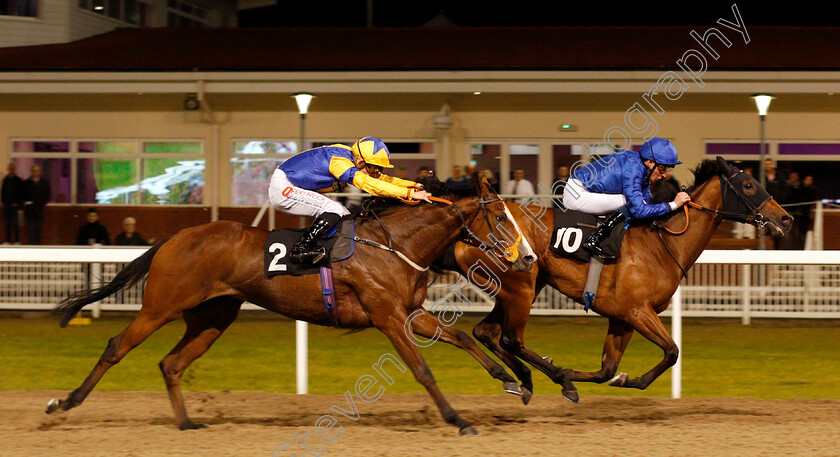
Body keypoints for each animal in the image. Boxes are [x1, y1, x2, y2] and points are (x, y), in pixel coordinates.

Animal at [49, 175, 540, 434]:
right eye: (501, 217)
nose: (529, 258)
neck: (395, 244)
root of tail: (173, 238)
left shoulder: (410, 313)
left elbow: (460, 337)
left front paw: (511, 382)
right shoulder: (387, 316)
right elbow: (422, 370)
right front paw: (458, 419)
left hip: (213, 317)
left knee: (171, 363)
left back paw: (187, 423)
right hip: (160, 307)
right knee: (117, 346)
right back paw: (64, 403)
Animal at [440, 158, 796, 402]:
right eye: (749, 185)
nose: (786, 218)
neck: (661, 243)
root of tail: (466, 231)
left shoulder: (622, 318)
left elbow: (607, 370)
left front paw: (610, 377)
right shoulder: (638, 311)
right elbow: (672, 351)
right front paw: (614, 379)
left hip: (517, 288)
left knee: (486, 332)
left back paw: (522, 379)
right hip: (522, 288)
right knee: (511, 338)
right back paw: (553, 378)